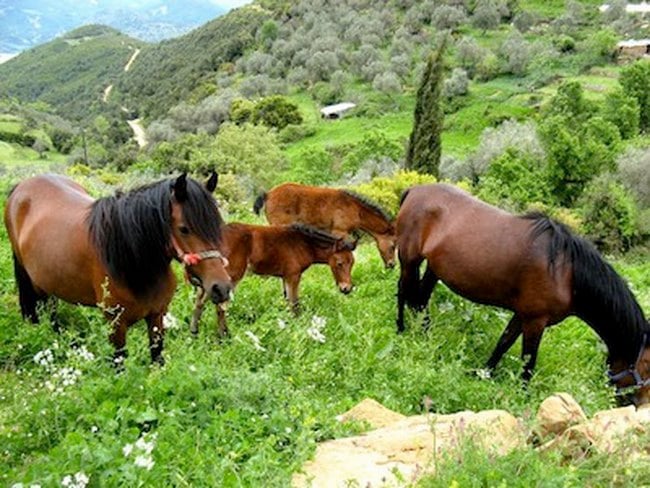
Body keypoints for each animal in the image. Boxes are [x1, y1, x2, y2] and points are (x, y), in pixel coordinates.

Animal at [4, 173, 233, 364]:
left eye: (217, 225)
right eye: (184, 229)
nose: (221, 287)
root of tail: (22, 186)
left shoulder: (157, 316)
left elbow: (157, 358)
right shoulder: (116, 324)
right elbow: (119, 364)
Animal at [190, 223, 356, 338]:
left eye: (352, 263)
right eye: (340, 263)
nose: (346, 289)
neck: (303, 243)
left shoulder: (284, 277)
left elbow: (287, 301)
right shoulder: (293, 276)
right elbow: (295, 304)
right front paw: (298, 327)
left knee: (199, 301)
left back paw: (194, 332)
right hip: (230, 277)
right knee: (220, 306)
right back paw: (224, 336)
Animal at [394, 182, 648, 404]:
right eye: (648, 365)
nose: (636, 403)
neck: (566, 272)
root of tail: (414, 190)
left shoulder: (522, 315)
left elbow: (503, 343)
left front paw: (483, 374)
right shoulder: (535, 321)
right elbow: (528, 362)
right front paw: (523, 398)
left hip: (434, 268)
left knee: (420, 299)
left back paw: (425, 337)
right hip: (409, 260)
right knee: (403, 291)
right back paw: (401, 330)